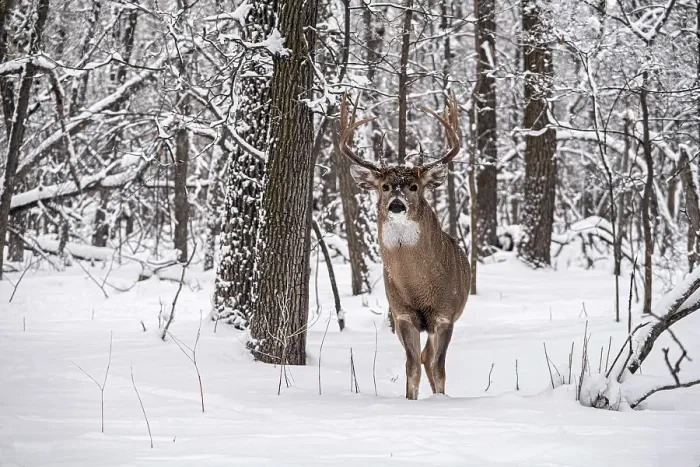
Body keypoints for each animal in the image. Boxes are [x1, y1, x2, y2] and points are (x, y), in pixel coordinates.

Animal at [338, 93, 471, 400]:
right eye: (385, 186)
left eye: (414, 186)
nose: (396, 205)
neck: (418, 286)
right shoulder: (402, 316)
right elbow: (412, 367)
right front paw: (411, 401)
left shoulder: (445, 315)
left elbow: (439, 368)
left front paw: (441, 401)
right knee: (422, 358)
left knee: (430, 359)